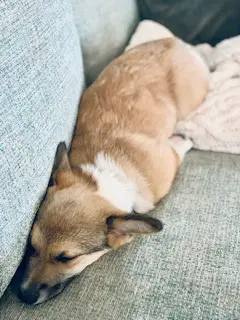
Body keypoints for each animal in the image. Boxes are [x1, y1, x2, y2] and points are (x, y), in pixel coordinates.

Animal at [17, 37, 208, 304]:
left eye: (66, 258)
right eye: (31, 246)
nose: (23, 296)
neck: (107, 177)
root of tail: (174, 41)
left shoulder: (167, 161)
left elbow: (179, 146)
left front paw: (186, 138)